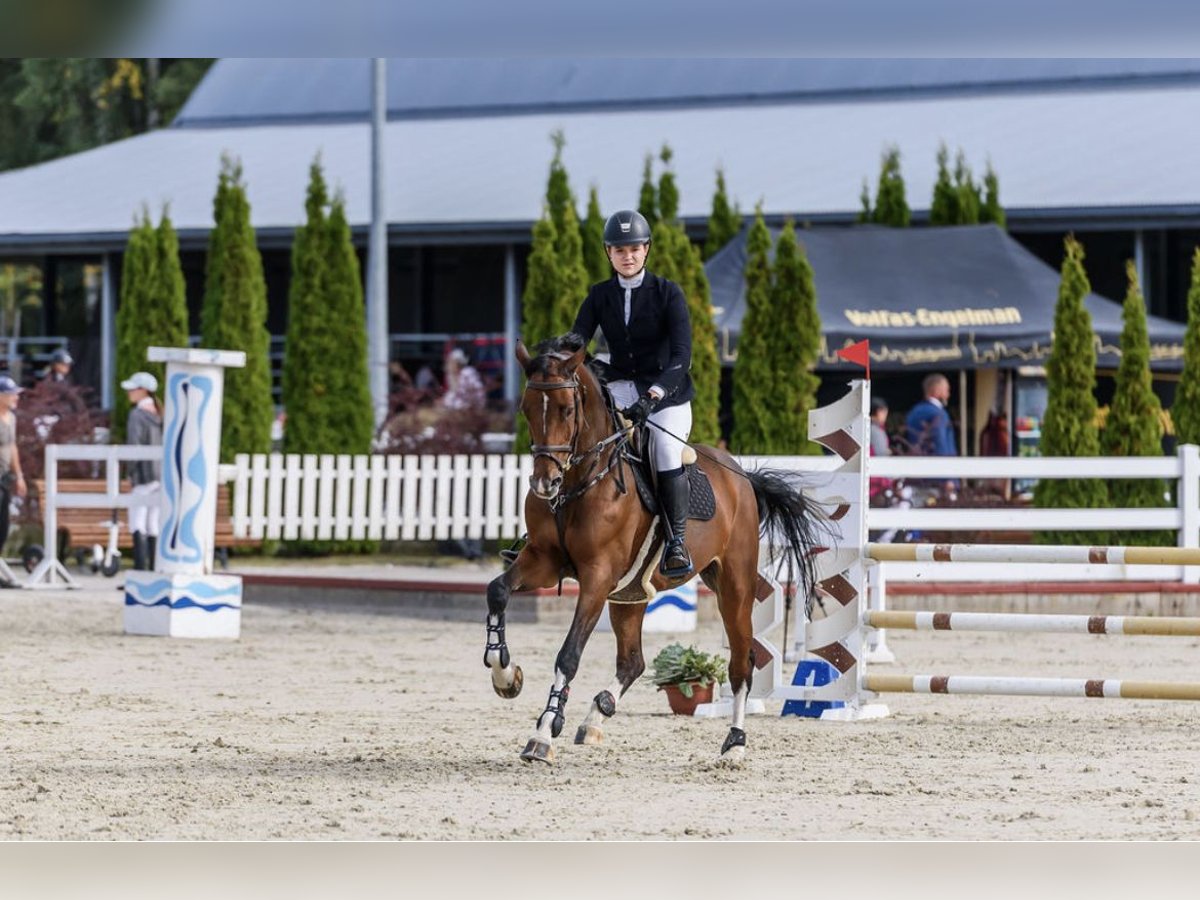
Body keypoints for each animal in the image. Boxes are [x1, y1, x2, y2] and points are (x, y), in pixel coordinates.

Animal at [477, 336, 825, 763]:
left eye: (567, 409)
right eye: (526, 409)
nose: (545, 484)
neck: (579, 482)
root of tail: (742, 476)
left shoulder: (596, 577)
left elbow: (569, 653)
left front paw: (543, 732)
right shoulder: (543, 560)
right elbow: (497, 591)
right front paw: (506, 676)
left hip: (734, 587)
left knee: (742, 662)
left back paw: (735, 743)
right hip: (629, 595)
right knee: (633, 661)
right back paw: (596, 716)